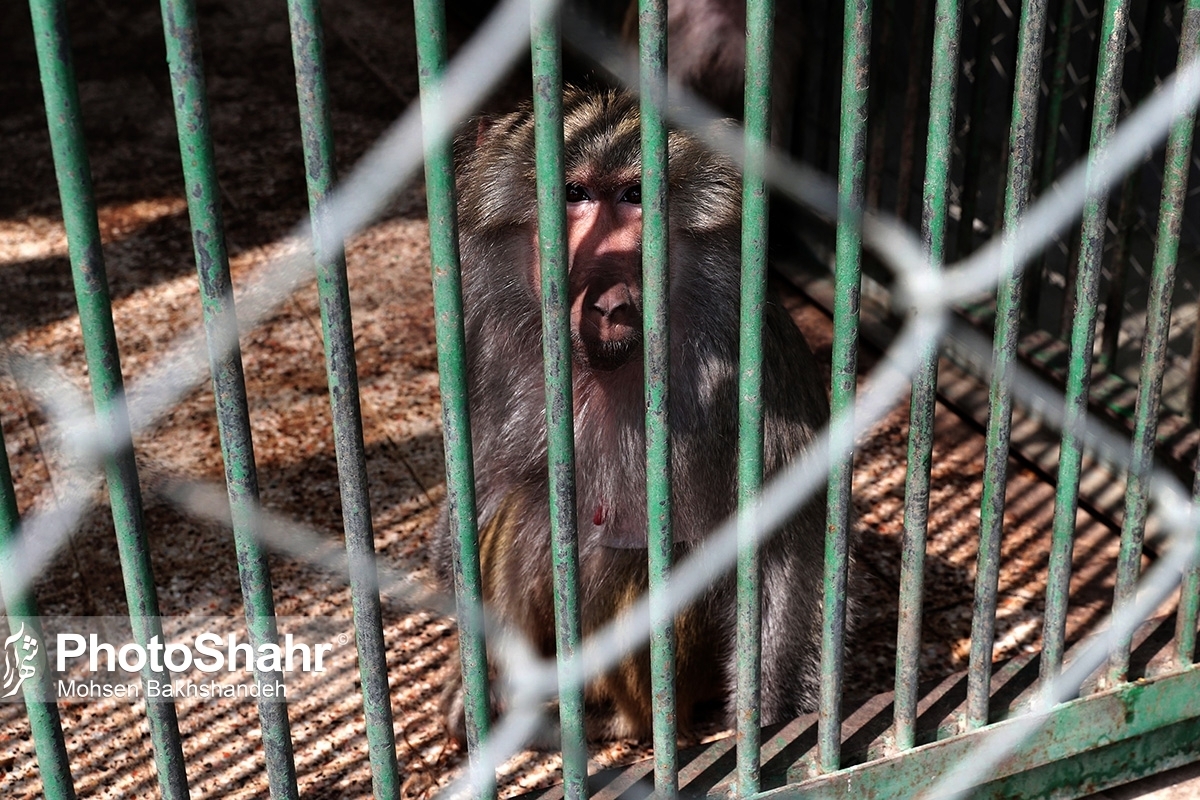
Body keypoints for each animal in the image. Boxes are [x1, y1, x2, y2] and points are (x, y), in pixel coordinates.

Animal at [432, 87, 835, 743]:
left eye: (633, 196)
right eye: (574, 193)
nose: (603, 286)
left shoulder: (742, 357)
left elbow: (786, 538)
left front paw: (773, 718)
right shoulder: (486, 342)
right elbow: (484, 486)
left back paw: (615, 718)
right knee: (526, 508)